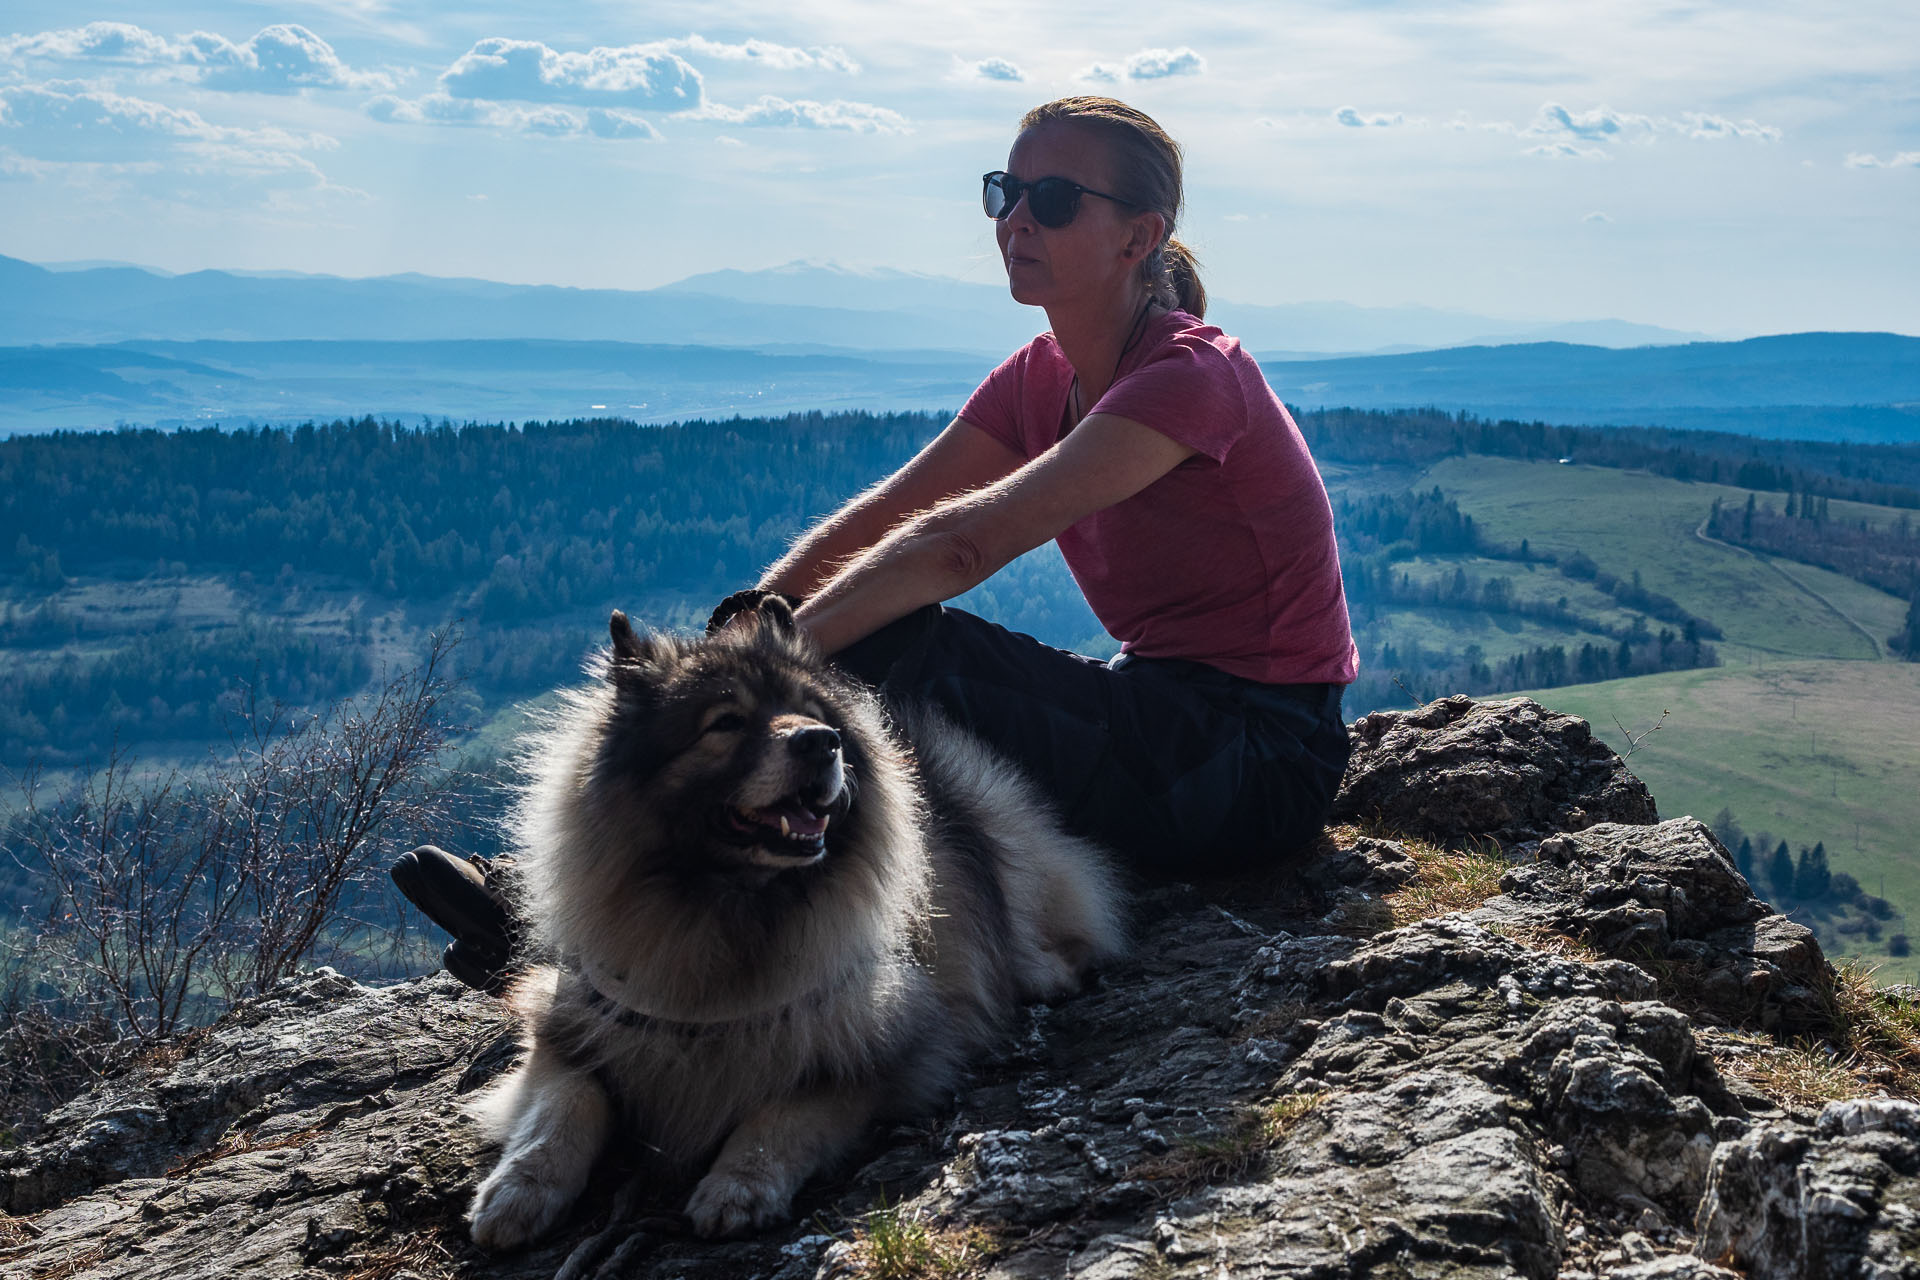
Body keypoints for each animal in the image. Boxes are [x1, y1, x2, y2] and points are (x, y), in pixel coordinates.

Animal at [468, 606, 1121, 1243]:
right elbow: (562, 1106)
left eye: (810, 714)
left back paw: (1044, 970)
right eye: (726, 722)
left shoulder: (886, 1049)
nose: (822, 742)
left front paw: (740, 1184)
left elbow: (789, 1112)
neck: (729, 907)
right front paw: (518, 1189)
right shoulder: (567, 1027)